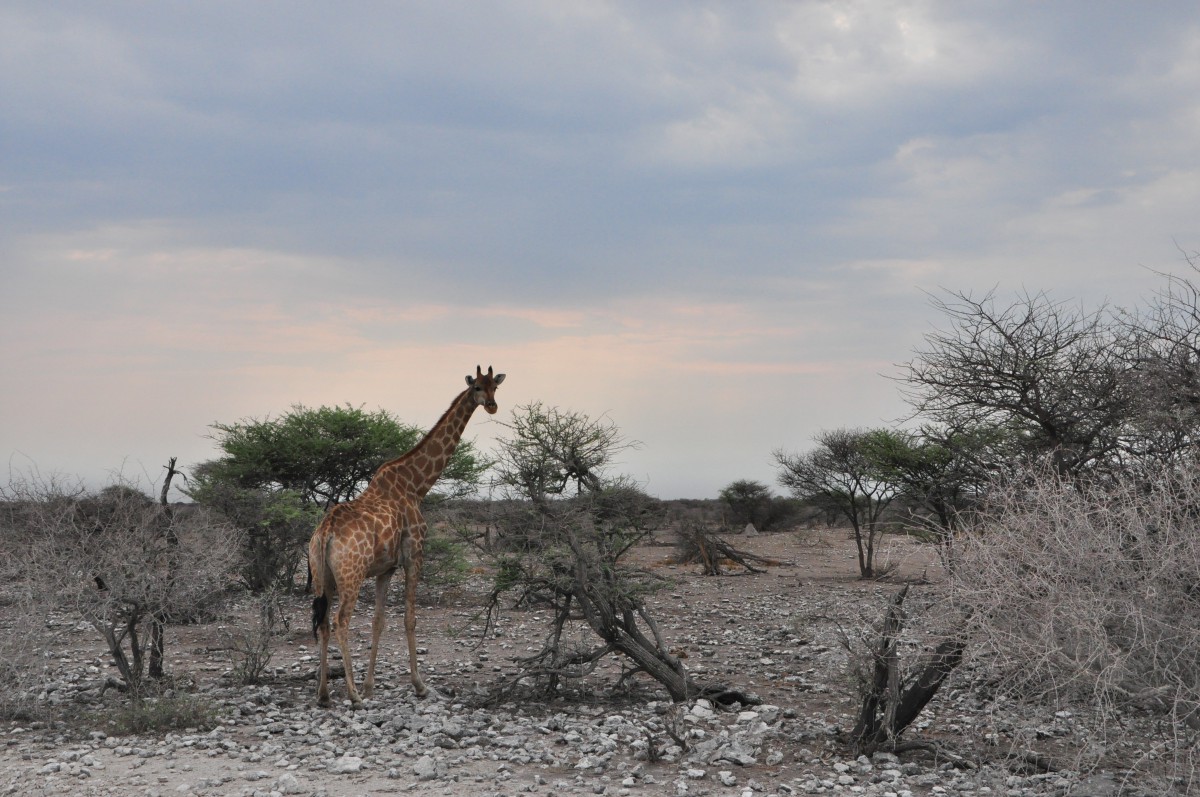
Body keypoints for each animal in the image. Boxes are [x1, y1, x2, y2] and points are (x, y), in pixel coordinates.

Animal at [307, 364, 504, 705]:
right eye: (477, 387)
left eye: (496, 386)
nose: (491, 405)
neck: (416, 484)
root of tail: (326, 532)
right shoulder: (415, 554)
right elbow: (410, 619)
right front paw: (420, 685)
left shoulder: (385, 568)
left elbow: (378, 621)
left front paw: (371, 686)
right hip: (351, 575)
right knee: (341, 621)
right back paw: (352, 694)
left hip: (323, 577)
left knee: (324, 624)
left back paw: (324, 694)